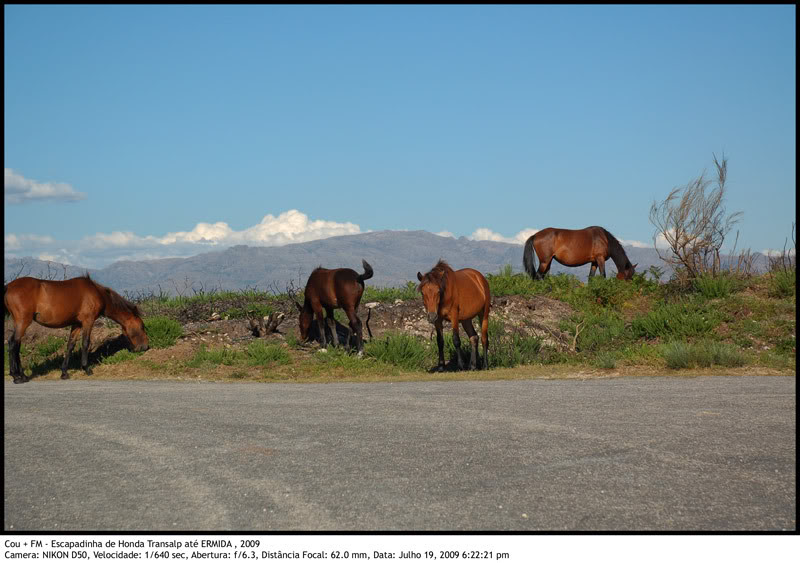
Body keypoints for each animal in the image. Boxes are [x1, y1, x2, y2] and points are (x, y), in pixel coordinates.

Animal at [3, 276, 148, 386]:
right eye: (142, 326)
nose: (145, 347)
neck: (96, 293)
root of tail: (9, 286)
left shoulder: (76, 324)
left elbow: (70, 345)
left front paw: (64, 373)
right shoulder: (88, 321)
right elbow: (85, 343)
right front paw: (86, 368)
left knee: (14, 344)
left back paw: (22, 375)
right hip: (23, 321)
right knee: (13, 344)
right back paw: (17, 376)